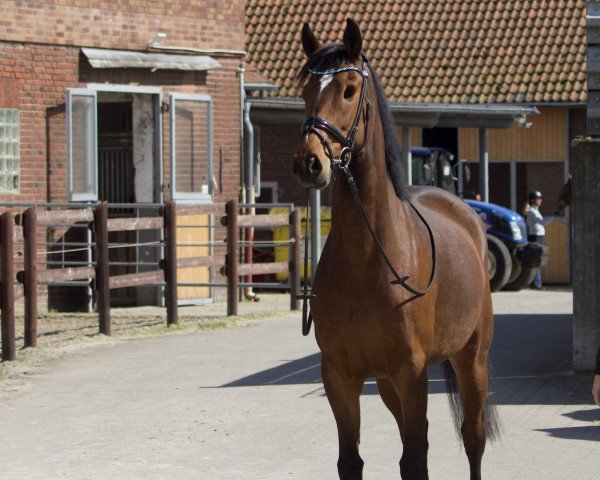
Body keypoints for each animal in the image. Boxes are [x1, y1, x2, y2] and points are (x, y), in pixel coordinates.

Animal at [292, 19, 500, 480]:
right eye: (305, 90)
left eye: (350, 89)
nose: (309, 163)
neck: (367, 257)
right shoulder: (340, 375)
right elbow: (351, 460)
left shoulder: (412, 372)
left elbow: (415, 459)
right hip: (387, 383)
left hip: (472, 358)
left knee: (473, 438)